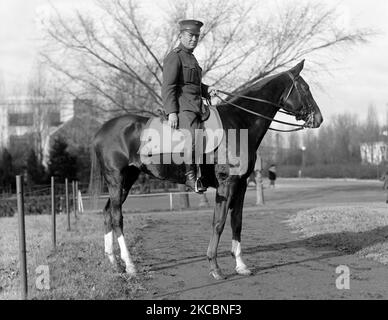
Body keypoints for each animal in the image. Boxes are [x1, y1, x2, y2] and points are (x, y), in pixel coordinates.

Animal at [89, 60, 322, 280]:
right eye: (305, 88)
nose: (319, 118)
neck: (238, 123)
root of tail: (101, 130)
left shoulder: (241, 185)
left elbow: (237, 222)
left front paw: (241, 265)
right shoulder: (226, 185)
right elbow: (218, 223)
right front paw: (215, 267)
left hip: (127, 180)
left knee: (107, 213)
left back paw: (115, 263)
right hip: (117, 179)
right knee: (117, 217)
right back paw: (130, 265)